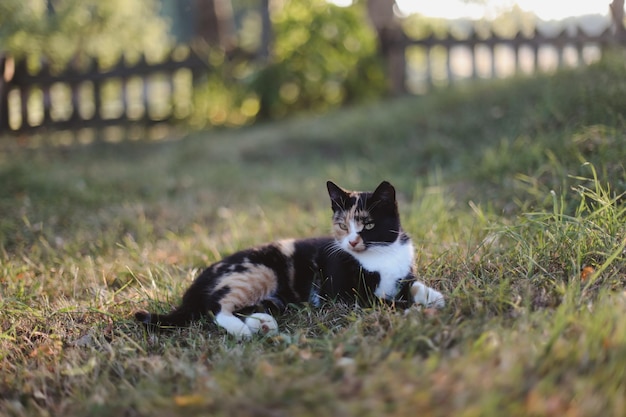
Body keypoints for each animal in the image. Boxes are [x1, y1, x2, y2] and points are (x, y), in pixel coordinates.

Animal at [135, 180, 444, 336]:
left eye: (367, 224)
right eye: (343, 225)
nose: (353, 241)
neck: (380, 253)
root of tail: (195, 285)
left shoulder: (403, 271)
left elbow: (412, 284)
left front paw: (434, 297)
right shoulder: (343, 295)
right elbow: (381, 301)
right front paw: (409, 307)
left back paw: (262, 323)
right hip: (256, 272)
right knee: (216, 306)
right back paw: (242, 330)